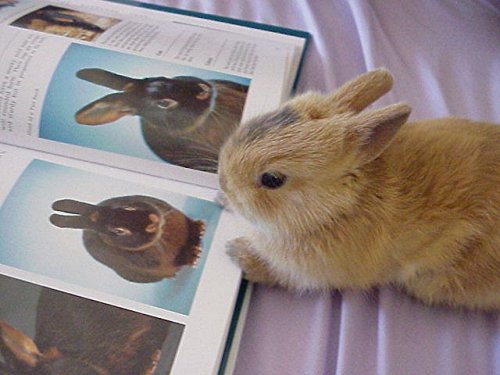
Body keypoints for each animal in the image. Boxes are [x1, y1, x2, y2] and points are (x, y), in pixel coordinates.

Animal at [219, 69, 500, 310]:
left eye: (272, 179)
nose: (223, 181)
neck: (339, 207)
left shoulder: (316, 271)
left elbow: (282, 275)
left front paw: (237, 254)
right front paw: (221, 199)